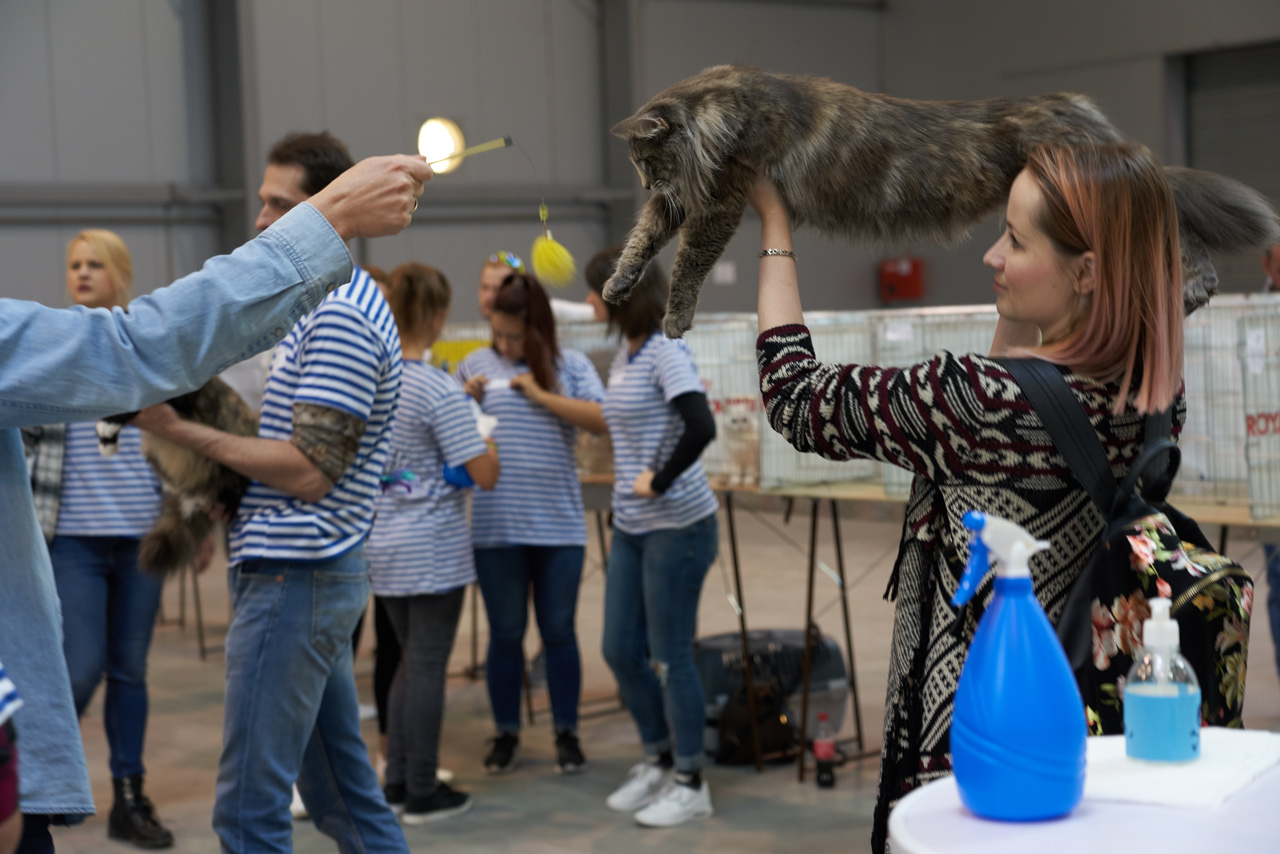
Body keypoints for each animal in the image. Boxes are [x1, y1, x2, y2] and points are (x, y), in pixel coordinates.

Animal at [603, 65, 1280, 337]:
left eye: (646, 161)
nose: (642, 182)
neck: (717, 109)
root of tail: (1075, 108)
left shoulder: (720, 196)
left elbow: (689, 262)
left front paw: (675, 319)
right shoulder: (685, 198)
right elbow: (643, 239)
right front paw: (617, 284)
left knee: (1175, 232)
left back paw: (1194, 288)